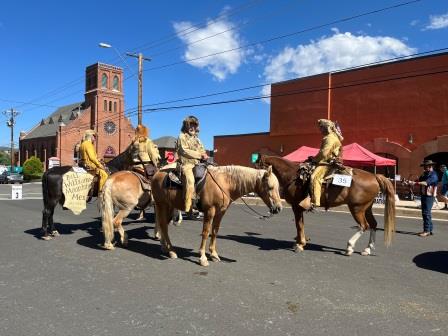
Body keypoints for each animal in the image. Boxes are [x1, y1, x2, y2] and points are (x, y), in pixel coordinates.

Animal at [150, 165, 284, 266]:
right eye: (270, 187)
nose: (278, 208)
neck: (224, 183)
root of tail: (157, 173)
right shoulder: (210, 211)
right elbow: (205, 232)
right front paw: (203, 258)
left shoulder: (220, 212)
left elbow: (214, 231)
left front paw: (214, 255)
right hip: (161, 205)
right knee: (163, 225)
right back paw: (171, 251)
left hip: (169, 206)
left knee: (163, 225)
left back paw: (165, 247)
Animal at [256, 154, 396, 255]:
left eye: (258, 168)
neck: (293, 176)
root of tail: (374, 176)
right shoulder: (299, 208)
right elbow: (300, 225)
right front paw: (300, 242)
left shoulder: (296, 207)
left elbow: (299, 225)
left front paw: (300, 244)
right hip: (367, 208)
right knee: (373, 225)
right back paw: (367, 249)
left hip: (357, 208)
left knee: (364, 226)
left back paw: (349, 247)